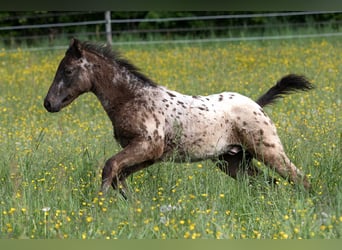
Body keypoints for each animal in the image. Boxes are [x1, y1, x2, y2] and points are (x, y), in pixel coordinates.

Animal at [44, 38, 314, 197]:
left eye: (68, 71)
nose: (48, 103)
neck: (132, 99)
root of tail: (257, 104)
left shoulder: (146, 146)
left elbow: (109, 167)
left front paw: (100, 205)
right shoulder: (150, 155)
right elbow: (118, 175)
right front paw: (131, 206)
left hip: (267, 149)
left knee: (298, 178)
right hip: (233, 161)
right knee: (268, 184)